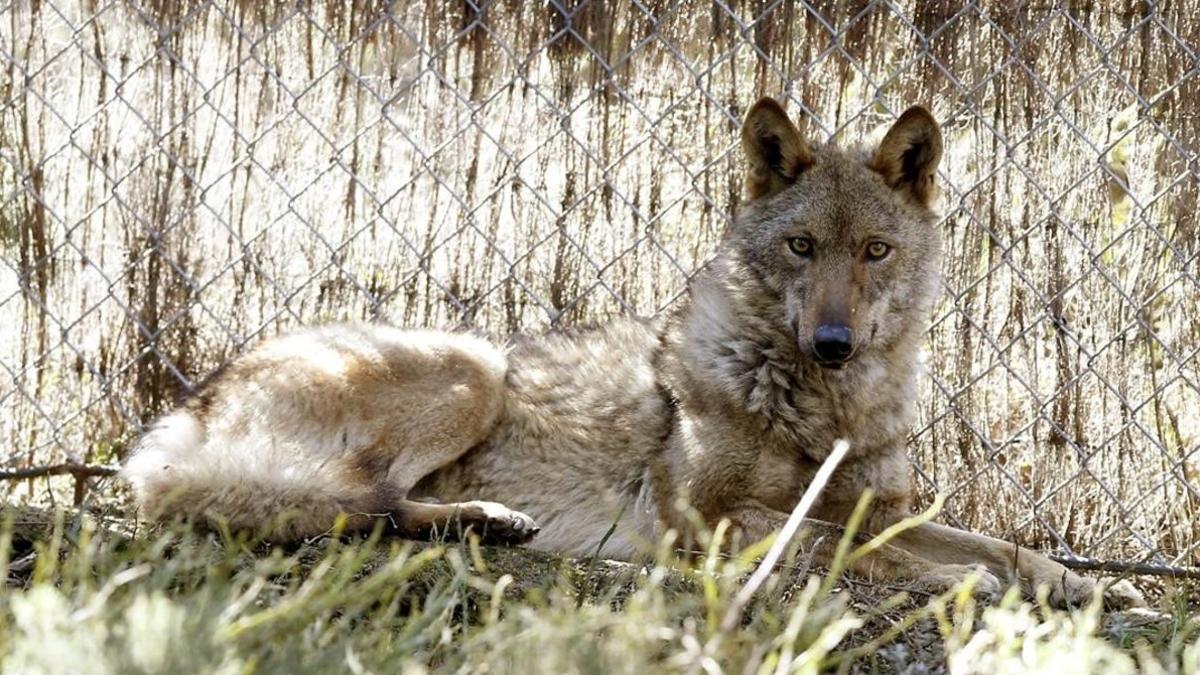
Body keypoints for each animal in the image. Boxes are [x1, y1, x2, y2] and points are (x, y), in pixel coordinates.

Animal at [124, 97, 1142, 607]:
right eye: (802, 247)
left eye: (875, 251)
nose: (834, 341)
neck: (826, 406)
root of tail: (179, 420)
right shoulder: (712, 520)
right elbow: (847, 545)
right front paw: (964, 581)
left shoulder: (878, 501)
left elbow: (989, 538)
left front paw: (1082, 585)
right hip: (471, 366)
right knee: (351, 502)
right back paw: (496, 521)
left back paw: (492, 524)